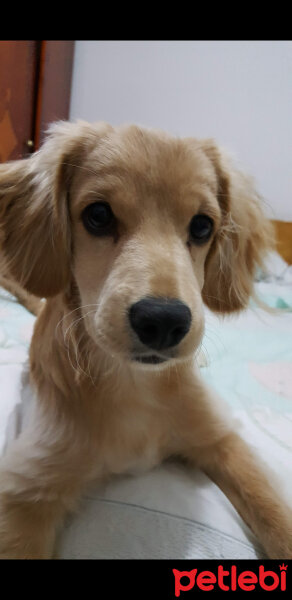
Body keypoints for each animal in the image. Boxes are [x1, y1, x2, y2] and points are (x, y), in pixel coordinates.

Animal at [0, 119, 290, 560]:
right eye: (98, 215)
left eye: (202, 225)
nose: (164, 322)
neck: (135, 385)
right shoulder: (28, 487)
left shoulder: (221, 437)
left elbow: (274, 511)